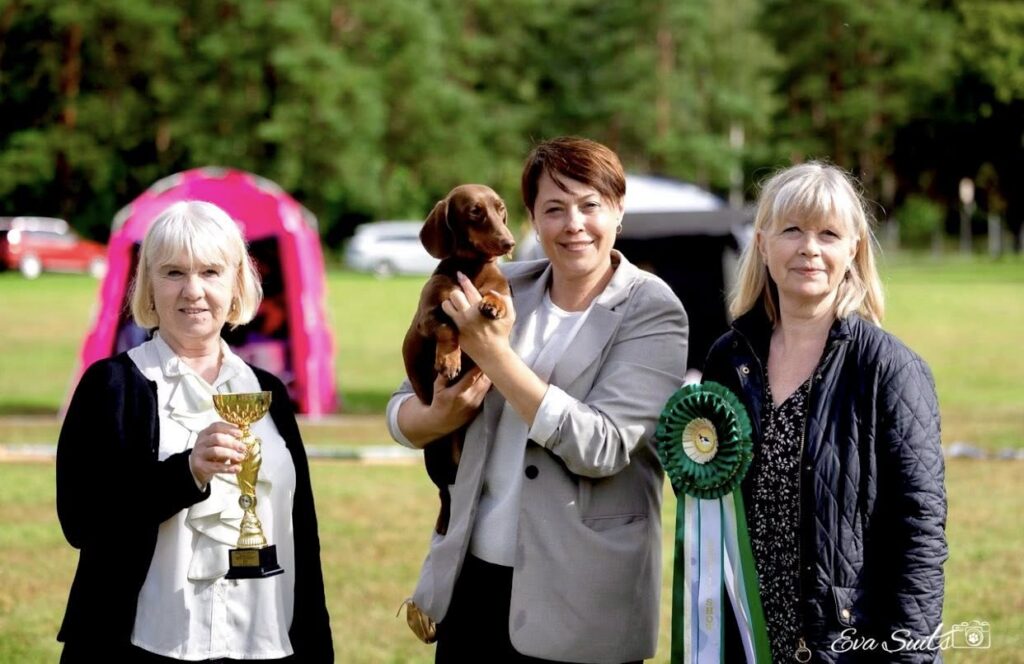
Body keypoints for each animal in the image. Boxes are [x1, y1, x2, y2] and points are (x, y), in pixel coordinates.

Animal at [402, 184, 516, 535]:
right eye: (475, 212)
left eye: (500, 209)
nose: (509, 242)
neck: (472, 271)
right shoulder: (427, 317)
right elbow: (446, 327)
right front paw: (449, 361)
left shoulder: (501, 294)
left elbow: (496, 294)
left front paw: (492, 304)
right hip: (434, 456)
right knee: (444, 493)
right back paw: (443, 523)